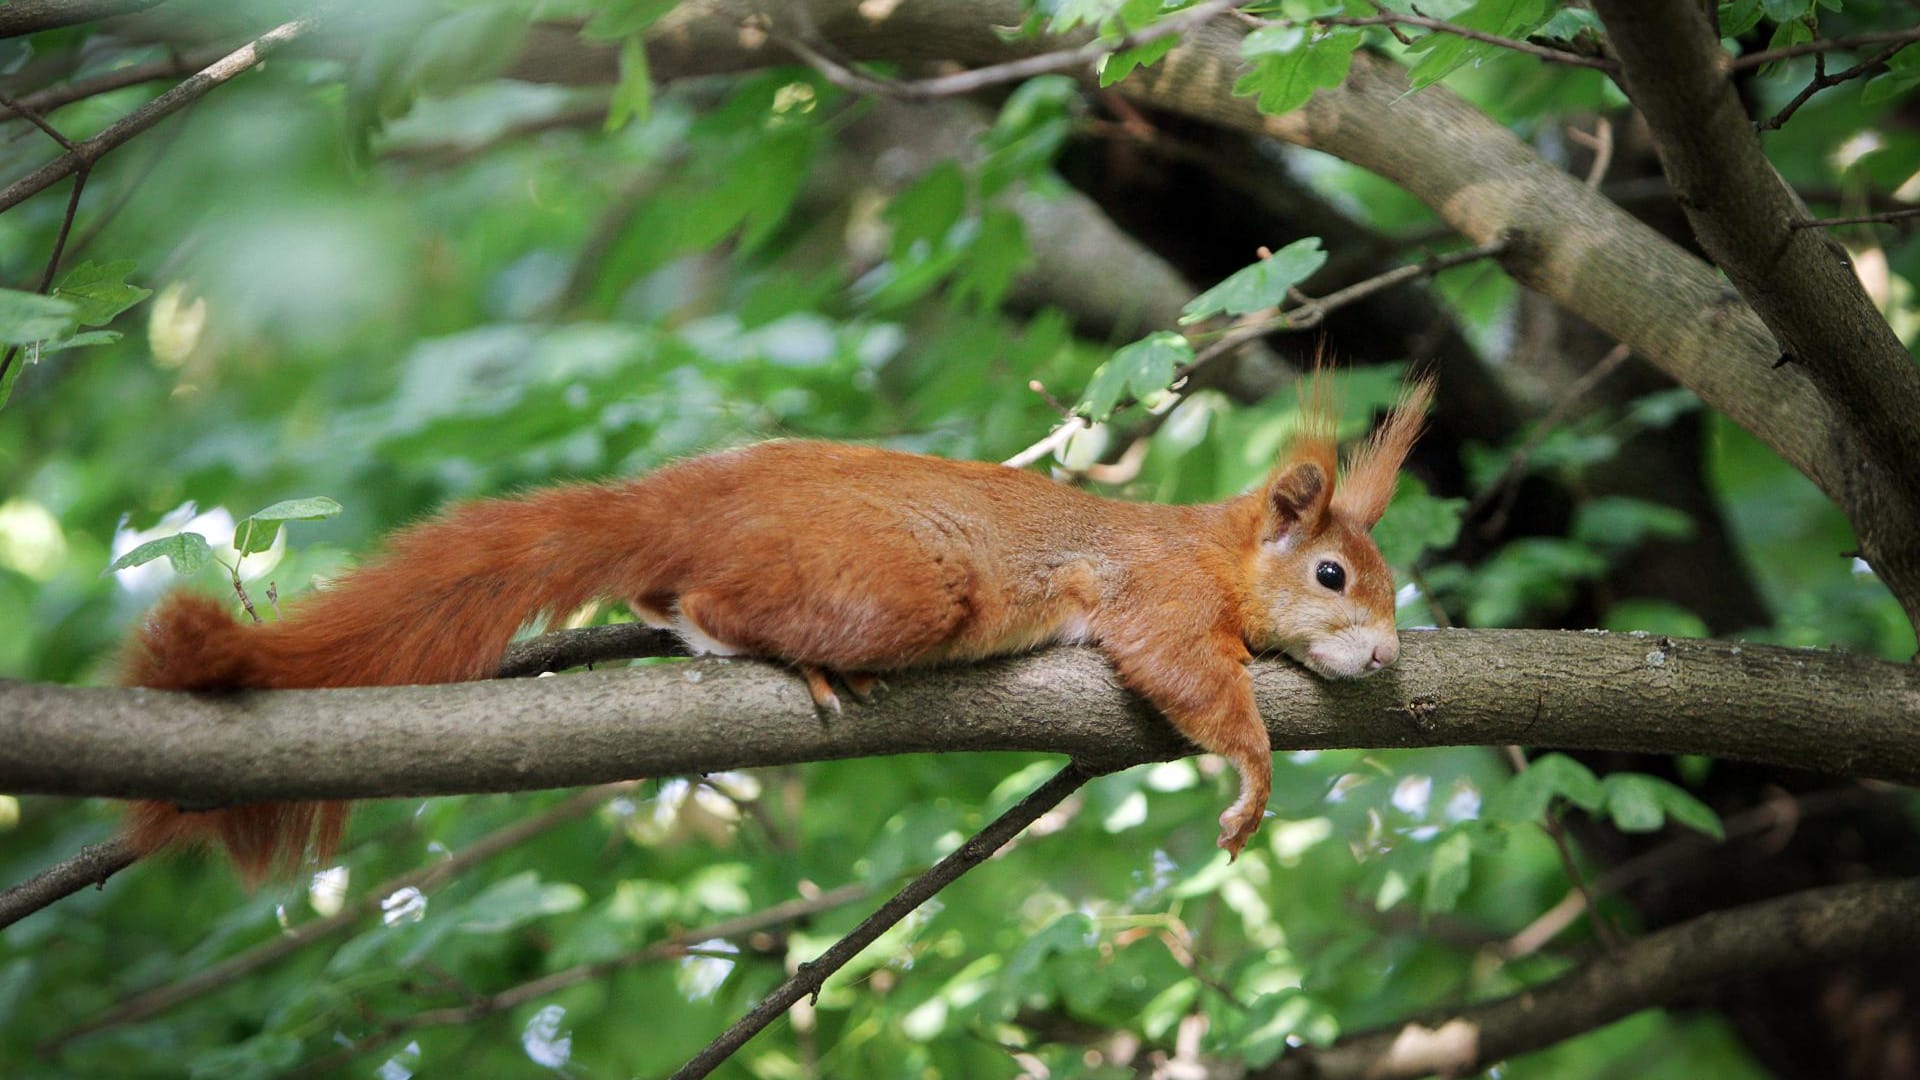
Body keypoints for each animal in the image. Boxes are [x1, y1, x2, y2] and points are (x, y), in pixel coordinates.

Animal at [120, 374, 1436, 880]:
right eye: (1333, 575)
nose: (1382, 654)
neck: (1210, 548)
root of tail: (699, 499)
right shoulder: (1152, 596)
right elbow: (1191, 679)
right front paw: (1252, 775)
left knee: (662, 594)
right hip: (900, 588)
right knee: (717, 603)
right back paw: (770, 653)